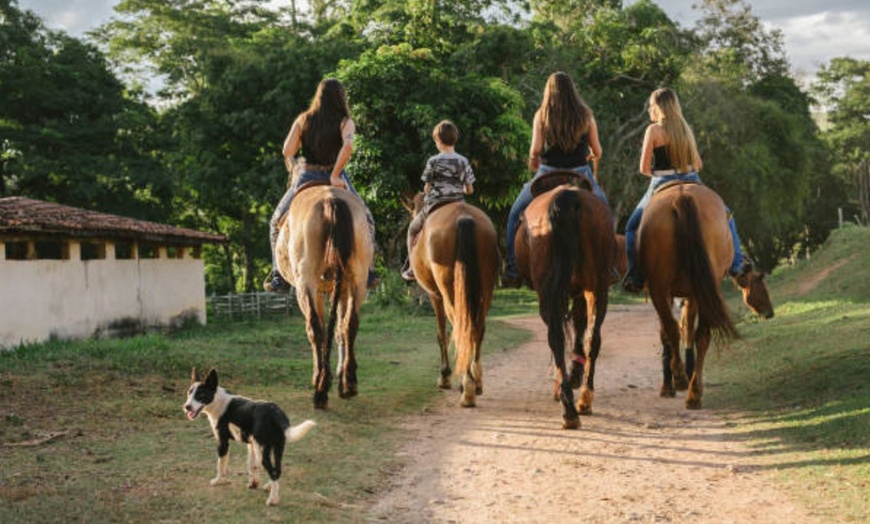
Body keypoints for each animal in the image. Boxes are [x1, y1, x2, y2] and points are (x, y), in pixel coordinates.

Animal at [184, 366, 316, 506]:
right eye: (189, 393)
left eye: (201, 395)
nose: (186, 407)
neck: (217, 400)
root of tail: (276, 413)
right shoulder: (251, 445)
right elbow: (252, 466)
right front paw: (253, 483)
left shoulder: (222, 442)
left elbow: (220, 465)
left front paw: (218, 481)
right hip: (277, 448)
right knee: (277, 470)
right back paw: (269, 487)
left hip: (263, 451)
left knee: (273, 472)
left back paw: (273, 499)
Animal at [276, 183, 374, 410]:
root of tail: (331, 199)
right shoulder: (342, 287)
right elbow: (340, 328)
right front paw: (340, 377)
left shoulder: (317, 290)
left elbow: (320, 327)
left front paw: (322, 377)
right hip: (357, 279)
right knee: (349, 324)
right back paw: (348, 383)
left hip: (306, 282)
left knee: (316, 329)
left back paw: (320, 390)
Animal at [410, 194, 500, 408]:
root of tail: (463, 216)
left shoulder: (434, 295)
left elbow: (441, 333)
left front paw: (444, 377)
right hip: (486, 288)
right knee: (478, 329)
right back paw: (476, 382)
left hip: (449, 291)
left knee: (462, 329)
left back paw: (466, 388)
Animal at [516, 174, 616, 428]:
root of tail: (567, 197)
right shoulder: (580, 291)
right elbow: (580, 325)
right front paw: (574, 375)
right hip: (598, 287)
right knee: (592, 339)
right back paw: (582, 401)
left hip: (551, 294)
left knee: (557, 338)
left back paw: (570, 404)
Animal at [632, 182, 776, 408]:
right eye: (761, 284)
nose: (770, 312)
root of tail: (682, 197)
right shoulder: (688, 294)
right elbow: (684, 329)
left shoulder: (678, 295)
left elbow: (677, 330)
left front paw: (670, 383)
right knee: (700, 334)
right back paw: (692, 390)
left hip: (663, 287)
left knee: (677, 329)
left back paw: (683, 380)